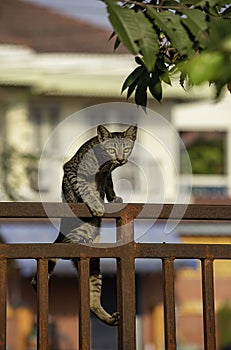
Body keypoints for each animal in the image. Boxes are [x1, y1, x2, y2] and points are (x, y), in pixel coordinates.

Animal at [32, 124, 137, 326]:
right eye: (112, 149)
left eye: (126, 149)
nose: (120, 159)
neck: (103, 163)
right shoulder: (73, 170)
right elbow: (86, 189)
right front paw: (96, 204)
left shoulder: (107, 174)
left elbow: (109, 184)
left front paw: (113, 197)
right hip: (77, 236)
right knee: (62, 249)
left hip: (94, 265)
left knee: (92, 301)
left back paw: (107, 317)